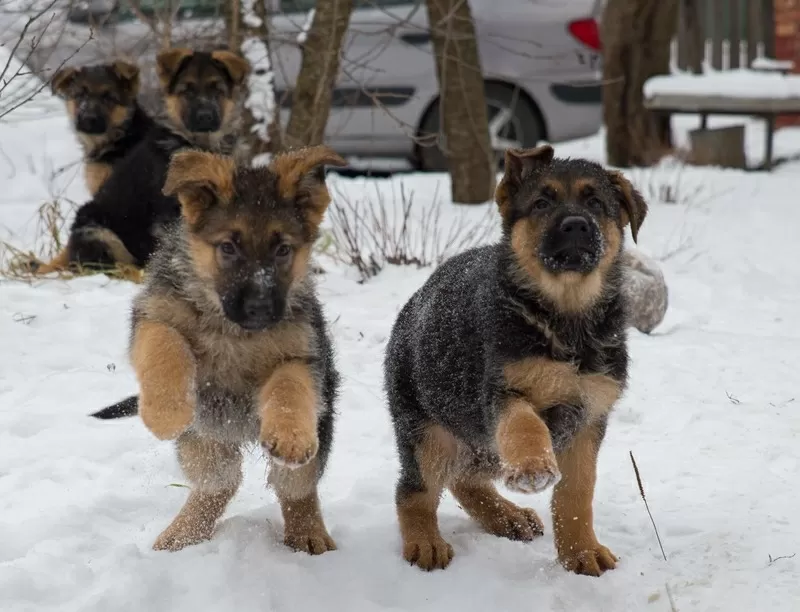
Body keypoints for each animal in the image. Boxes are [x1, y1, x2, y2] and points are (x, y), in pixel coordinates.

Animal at [104, 146, 346, 552]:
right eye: (228, 248)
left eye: (283, 250)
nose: (260, 309)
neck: (232, 331)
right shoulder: (152, 317)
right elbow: (165, 348)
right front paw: (166, 411)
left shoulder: (301, 353)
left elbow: (289, 388)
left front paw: (290, 436)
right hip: (203, 440)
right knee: (220, 483)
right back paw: (181, 536)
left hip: (319, 430)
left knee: (295, 488)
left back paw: (307, 535)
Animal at [382, 146, 648, 576]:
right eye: (541, 203)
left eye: (595, 203)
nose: (576, 225)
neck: (566, 319)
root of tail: (412, 304)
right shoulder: (504, 392)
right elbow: (525, 426)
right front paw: (534, 469)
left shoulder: (588, 417)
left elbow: (577, 493)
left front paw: (580, 551)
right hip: (429, 433)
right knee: (414, 489)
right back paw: (425, 542)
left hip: (476, 444)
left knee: (464, 479)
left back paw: (507, 518)